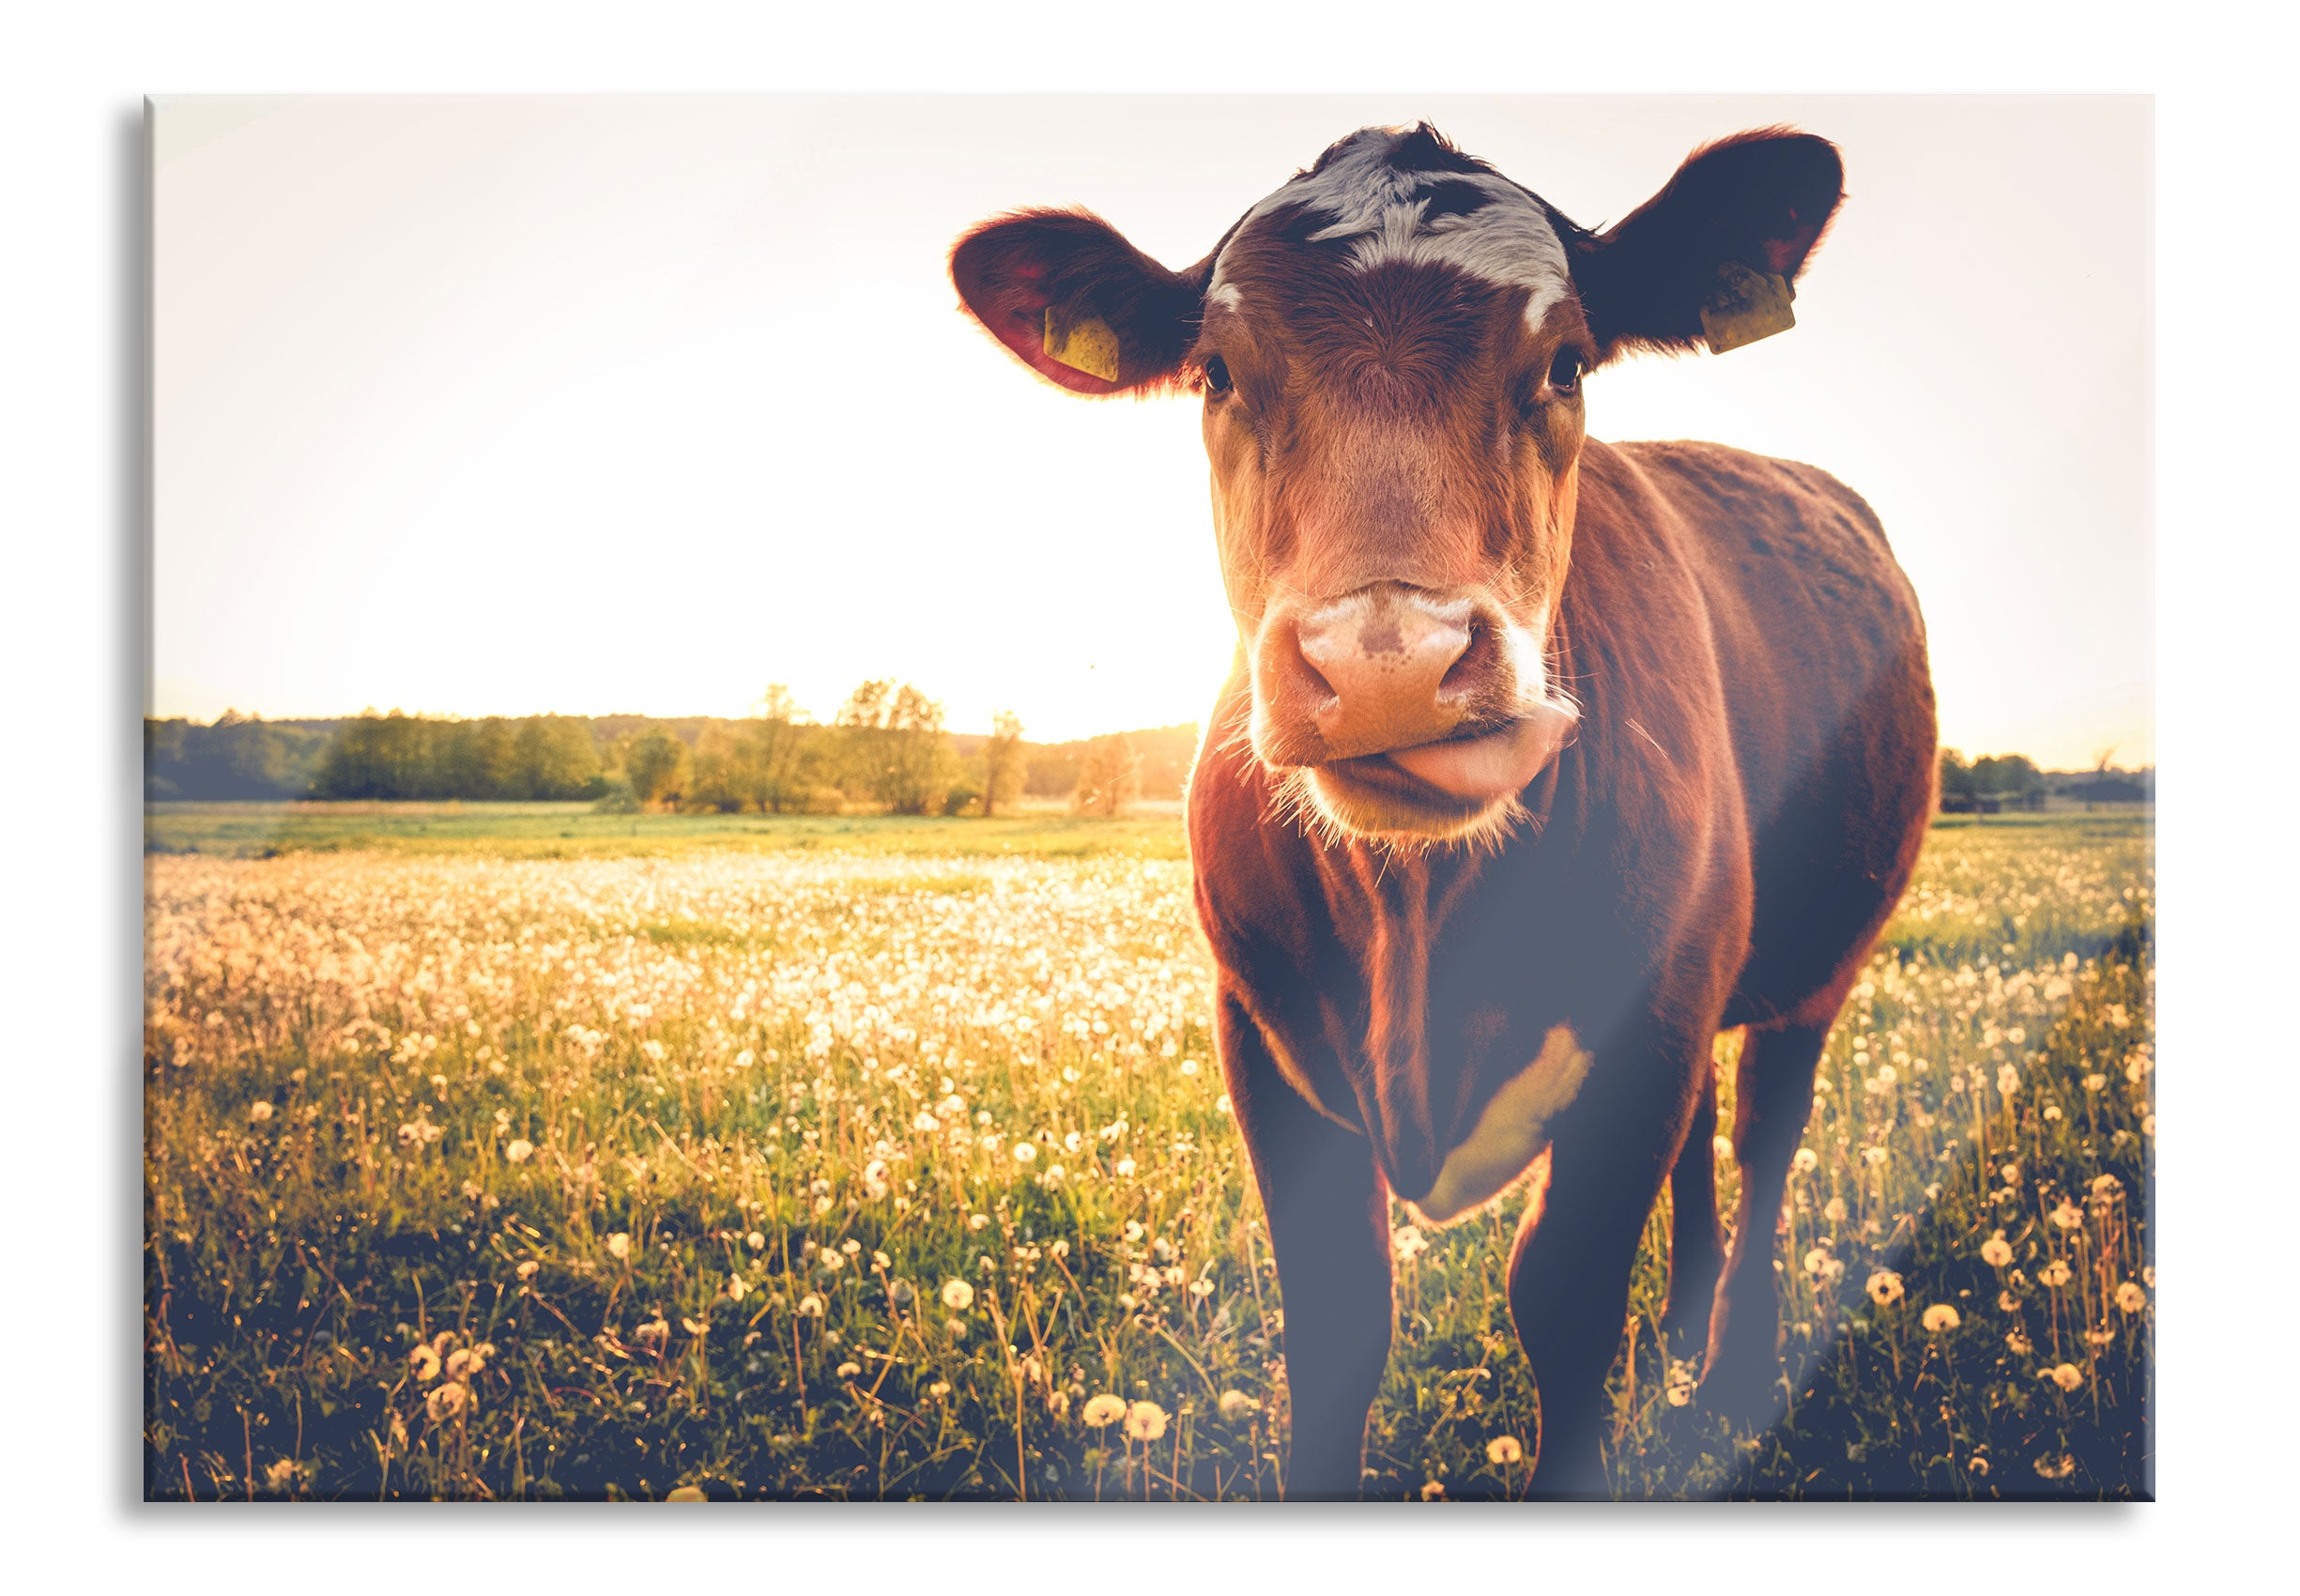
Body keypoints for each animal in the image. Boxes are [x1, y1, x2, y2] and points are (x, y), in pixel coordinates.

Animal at [952, 121, 1940, 1499]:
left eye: (1566, 360)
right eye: (1215, 372)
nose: (1387, 662)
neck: (1417, 921)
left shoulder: (1643, 1031)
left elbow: (1562, 1298)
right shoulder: (1259, 1035)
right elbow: (1337, 1319)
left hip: (1813, 963)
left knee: (1762, 1130)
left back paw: (1730, 1366)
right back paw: (1681, 1328)